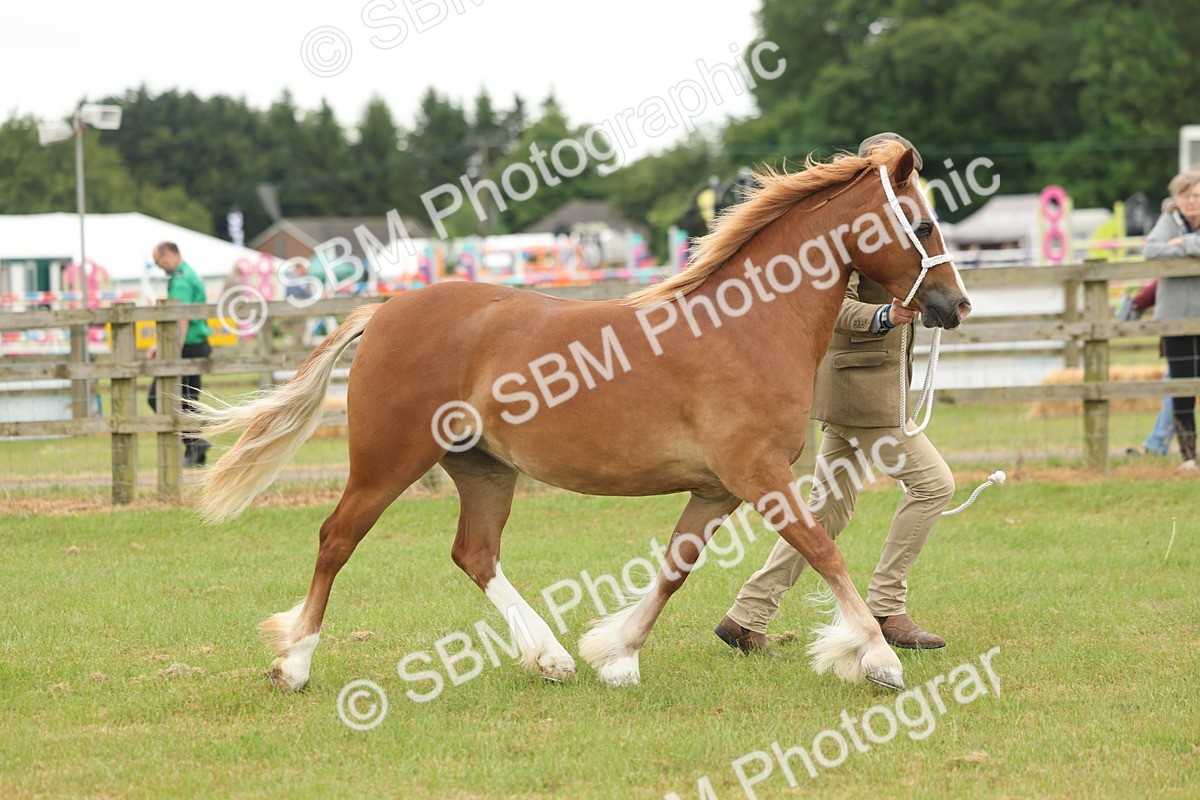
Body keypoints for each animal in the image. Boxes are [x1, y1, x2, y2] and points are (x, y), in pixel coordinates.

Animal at [195, 141, 970, 694]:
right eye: (924, 222)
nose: (955, 306)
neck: (745, 327)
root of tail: (387, 309)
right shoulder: (759, 476)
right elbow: (823, 551)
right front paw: (877, 658)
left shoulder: (717, 489)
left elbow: (675, 568)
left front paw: (617, 656)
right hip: (388, 461)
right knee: (336, 540)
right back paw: (294, 665)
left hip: (483, 469)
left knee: (474, 554)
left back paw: (549, 657)